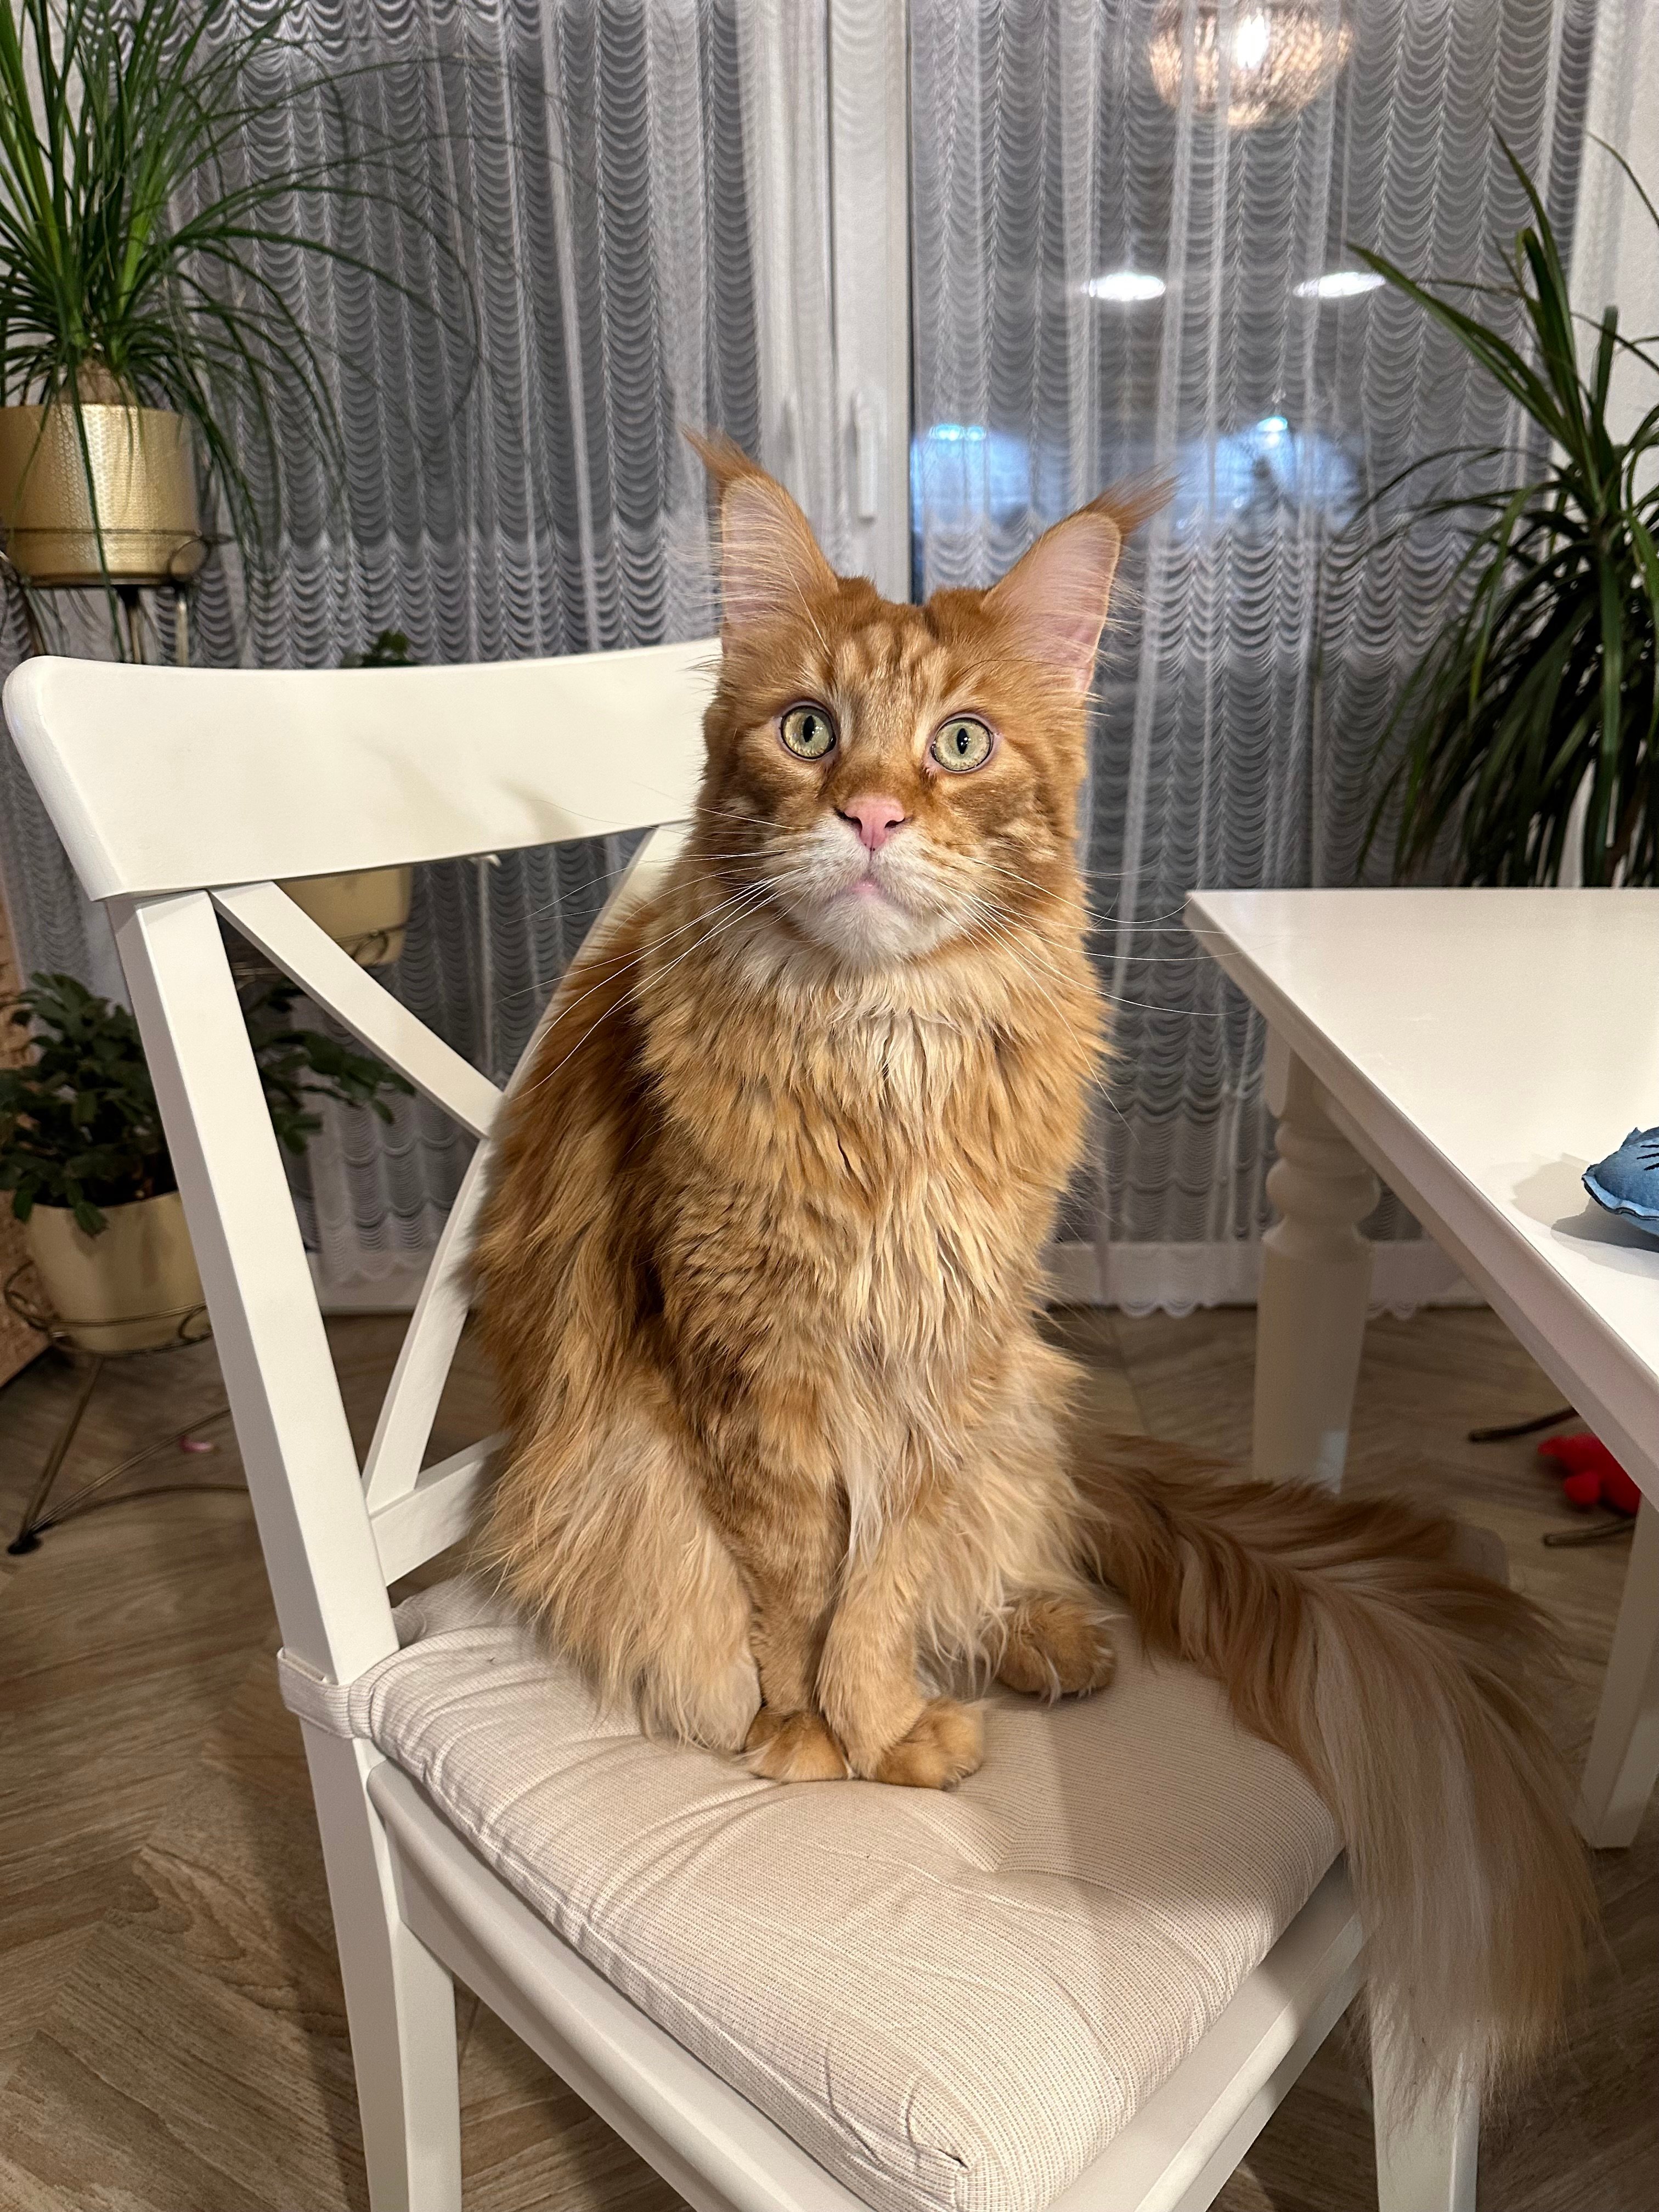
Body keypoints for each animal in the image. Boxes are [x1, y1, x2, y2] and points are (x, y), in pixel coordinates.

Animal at [473, 433, 1593, 2101]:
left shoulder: (946, 1358)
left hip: (1014, 1396)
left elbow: (884, 1580)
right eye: (809, 731)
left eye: (959, 743)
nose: (872, 816)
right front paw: (824, 1734)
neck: (882, 1053)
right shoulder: (745, 1369)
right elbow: (792, 1586)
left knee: (1006, 1546)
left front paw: (883, 1720)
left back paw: (1051, 1640)